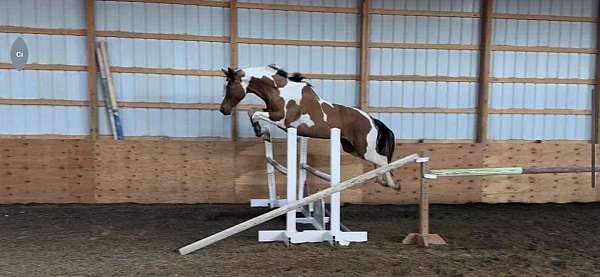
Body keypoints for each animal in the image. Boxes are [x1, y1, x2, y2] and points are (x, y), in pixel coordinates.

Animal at [219, 66, 398, 189]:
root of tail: (372, 120)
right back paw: (381, 180)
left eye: (228, 87)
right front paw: (259, 130)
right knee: (379, 161)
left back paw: (392, 184)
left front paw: (258, 130)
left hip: (364, 149)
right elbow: (252, 111)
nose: (223, 109)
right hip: (351, 148)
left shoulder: (282, 120)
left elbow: (255, 113)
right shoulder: (272, 113)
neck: (280, 91)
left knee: (383, 160)